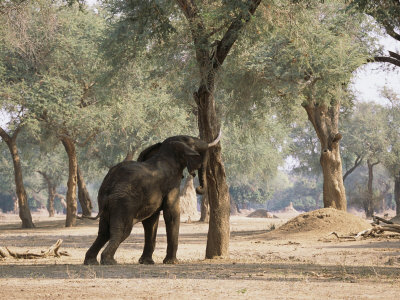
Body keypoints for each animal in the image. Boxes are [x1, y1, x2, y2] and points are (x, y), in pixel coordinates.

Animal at [84, 134, 220, 264]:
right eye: (190, 141)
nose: (198, 188)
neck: (164, 152)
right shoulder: (172, 184)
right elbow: (171, 214)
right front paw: (172, 262)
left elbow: (151, 221)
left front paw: (146, 262)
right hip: (123, 203)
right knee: (122, 230)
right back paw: (109, 261)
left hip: (106, 201)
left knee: (104, 232)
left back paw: (91, 261)